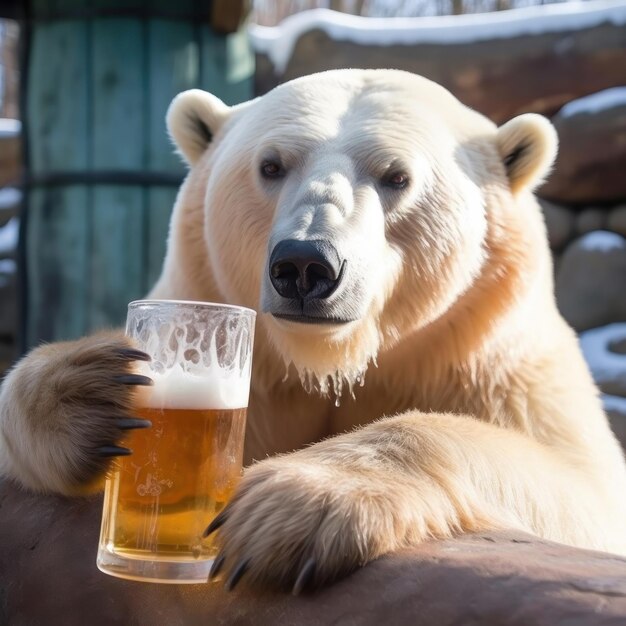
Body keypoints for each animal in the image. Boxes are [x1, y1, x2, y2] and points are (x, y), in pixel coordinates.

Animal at [1, 70, 624, 592]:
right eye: (271, 165)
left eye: (397, 176)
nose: (305, 264)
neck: (329, 361)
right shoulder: (263, 373)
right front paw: (89, 392)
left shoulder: (488, 363)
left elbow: (583, 487)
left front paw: (291, 508)